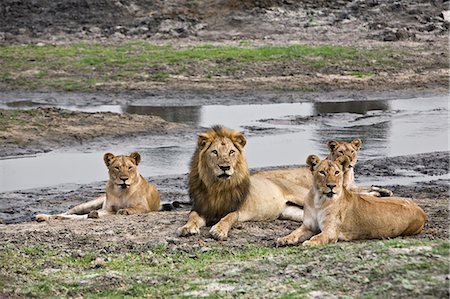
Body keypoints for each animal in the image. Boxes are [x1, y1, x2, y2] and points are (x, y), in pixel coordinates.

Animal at [177, 126, 310, 241]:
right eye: (214, 152)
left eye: (231, 152)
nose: (225, 167)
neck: (217, 186)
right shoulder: (200, 208)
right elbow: (192, 216)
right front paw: (187, 227)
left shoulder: (235, 209)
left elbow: (228, 218)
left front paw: (219, 230)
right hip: (291, 212)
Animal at [276, 156, 428, 247]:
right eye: (322, 172)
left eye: (337, 172)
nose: (331, 186)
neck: (318, 200)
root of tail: (421, 210)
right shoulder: (308, 226)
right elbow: (295, 232)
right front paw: (284, 239)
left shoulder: (331, 231)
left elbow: (319, 237)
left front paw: (310, 242)